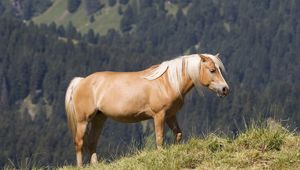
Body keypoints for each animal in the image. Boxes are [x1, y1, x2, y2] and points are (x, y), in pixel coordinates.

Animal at [65, 52, 230, 166]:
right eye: (212, 70)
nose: (225, 89)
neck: (168, 82)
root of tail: (81, 81)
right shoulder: (159, 115)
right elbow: (159, 138)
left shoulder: (171, 115)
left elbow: (178, 134)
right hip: (83, 120)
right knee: (79, 142)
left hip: (99, 118)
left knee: (92, 142)